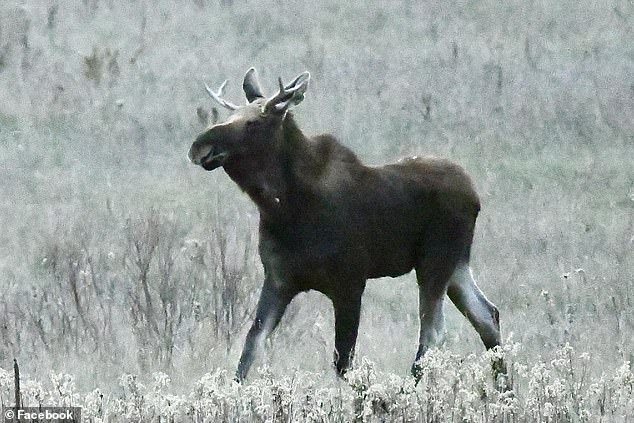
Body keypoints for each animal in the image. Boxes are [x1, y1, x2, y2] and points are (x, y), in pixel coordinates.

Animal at [185, 67, 502, 384]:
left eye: (253, 121)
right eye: (230, 115)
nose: (199, 146)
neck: (282, 208)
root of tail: (475, 196)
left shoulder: (350, 281)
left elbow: (343, 361)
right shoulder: (279, 278)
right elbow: (251, 346)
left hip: (436, 260)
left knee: (433, 332)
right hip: (456, 264)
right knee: (487, 315)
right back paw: (503, 386)